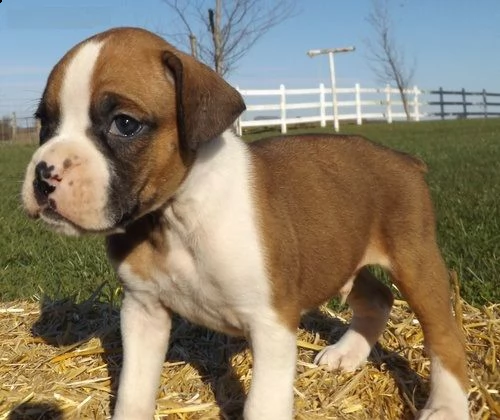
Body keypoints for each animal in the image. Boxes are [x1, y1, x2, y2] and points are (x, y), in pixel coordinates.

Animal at [22, 27, 468, 418]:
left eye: (125, 124)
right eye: (45, 122)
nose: (43, 174)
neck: (174, 217)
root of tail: (403, 159)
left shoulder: (271, 325)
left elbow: (262, 407)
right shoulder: (143, 312)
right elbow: (134, 392)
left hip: (416, 263)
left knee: (444, 336)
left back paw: (446, 406)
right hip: (340, 253)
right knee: (377, 296)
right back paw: (348, 353)